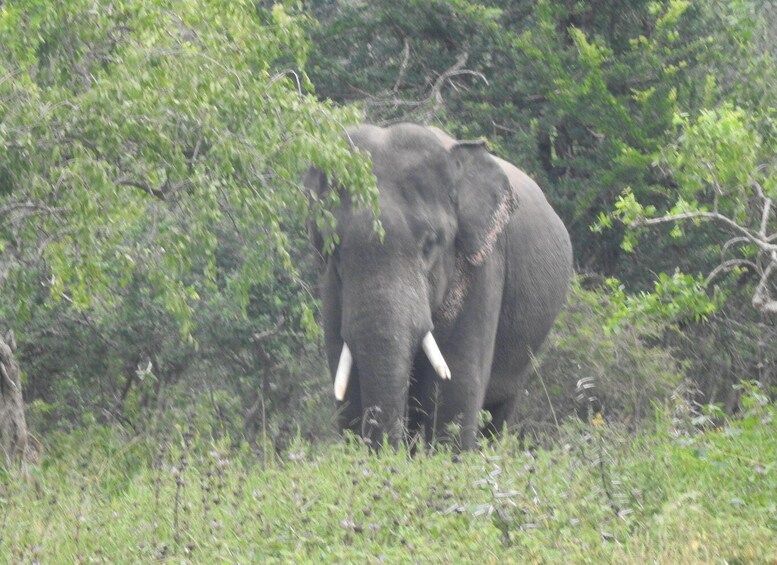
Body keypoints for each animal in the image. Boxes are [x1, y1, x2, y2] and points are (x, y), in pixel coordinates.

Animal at [305, 123, 573, 450]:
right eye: (335, 249)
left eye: (430, 244)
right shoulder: (331, 286)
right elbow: (349, 387)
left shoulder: (482, 266)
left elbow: (456, 388)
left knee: (502, 410)